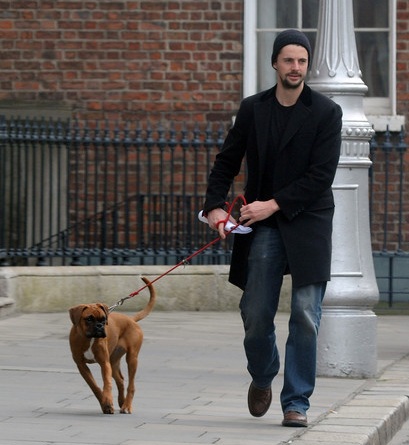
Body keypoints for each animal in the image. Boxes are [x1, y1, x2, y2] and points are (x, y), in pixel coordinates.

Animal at [68, 276, 155, 414]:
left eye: (104, 319)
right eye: (89, 319)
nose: (100, 326)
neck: (89, 339)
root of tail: (131, 319)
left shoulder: (104, 363)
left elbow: (107, 383)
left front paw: (108, 400)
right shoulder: (81, 366)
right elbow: (94, 386)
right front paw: (105, 403)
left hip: (131, 359)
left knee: (131, 385)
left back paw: (127, 406)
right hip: (114, 362)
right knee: (120, 380)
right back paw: (121, 401)